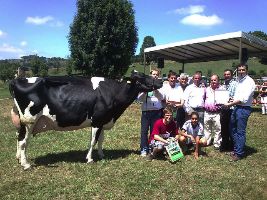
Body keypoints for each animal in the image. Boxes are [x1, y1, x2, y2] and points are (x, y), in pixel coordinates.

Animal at [9, 71, 162, 170]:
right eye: (142, 77)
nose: (160, 81)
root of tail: (17, 80)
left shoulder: (103, 120)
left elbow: (101, 139)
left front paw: (101, 155)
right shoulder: (97, 121)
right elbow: (93, 140)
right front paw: (89, 159)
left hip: (24, 122)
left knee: (18, 137)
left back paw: (18, 158)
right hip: (29, 120)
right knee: (23, 141)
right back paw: (26, 164)